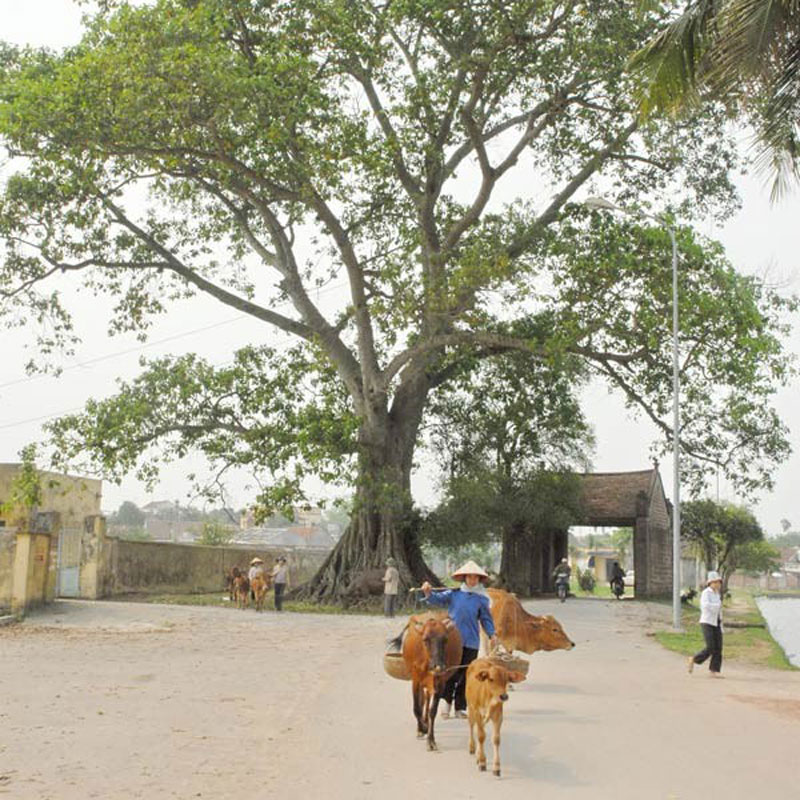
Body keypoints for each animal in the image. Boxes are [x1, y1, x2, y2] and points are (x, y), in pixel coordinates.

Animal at [394, 612, 462, 752]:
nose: (438, 666)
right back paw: (421, 727)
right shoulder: (415, 681)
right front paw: (422, 729)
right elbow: (416, 708)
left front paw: (431, 740)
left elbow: (432, 711)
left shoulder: (439, 683)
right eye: (425, 639)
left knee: (426, 699)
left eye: (445, 639)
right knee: (421, 701)